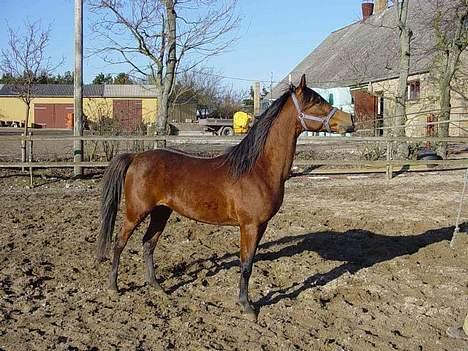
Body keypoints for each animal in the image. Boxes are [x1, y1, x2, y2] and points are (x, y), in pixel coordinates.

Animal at [98, 75, 354, 320]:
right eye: (317, 102)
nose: (350, 121)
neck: (258, 169)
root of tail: (135, 157)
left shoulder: (261, 226)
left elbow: (249, 262)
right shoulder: (249, 226)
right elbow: (246, 265)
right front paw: (247, 306)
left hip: (161, 212)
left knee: (148, 244)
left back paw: (156, 286)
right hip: (136, 212)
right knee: (119, 243)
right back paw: (113, 287)